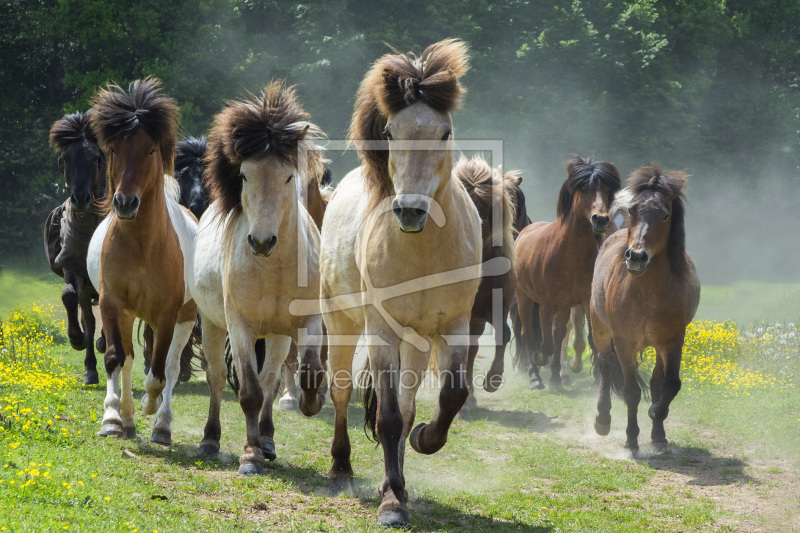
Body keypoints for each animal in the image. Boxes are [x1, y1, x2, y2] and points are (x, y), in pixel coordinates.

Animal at [86, 78, 198, 444]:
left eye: (150, 150)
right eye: (113, 150)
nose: (125, 202)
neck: (142, 247)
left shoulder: (167, 315)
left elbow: (160, 374)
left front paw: (151, 408)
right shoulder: (111, 304)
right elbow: (114, 359)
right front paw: (111, 418)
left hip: (185, 317)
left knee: (172, 367)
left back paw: (161, 424)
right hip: (126, 313)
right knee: (129, 360)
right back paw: (127, 418)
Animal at [192, 80, 326, 474]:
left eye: (289, 176)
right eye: (244, 175)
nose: (262, 241)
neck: (274, 269)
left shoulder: (308, 321)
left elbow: (305, 372)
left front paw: (311, 402)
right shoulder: (240, 326)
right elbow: (249, 392)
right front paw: (249, 457)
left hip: (278, 335)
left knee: (270, 380)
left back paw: (267, 439)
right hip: (212, 324)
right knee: (217, 378)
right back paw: (211, 439)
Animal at [512, 154, 624, 386]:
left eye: (606, 190)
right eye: (584, 188)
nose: (600, 219)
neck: (568, 253)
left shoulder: (585, 302)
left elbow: (585, 339)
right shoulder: (546, 305)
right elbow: (545, 344)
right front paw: (538, 359)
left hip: (563, 307)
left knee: (559, 333)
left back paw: (556, 376)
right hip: (525, 298)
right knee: (528, 333)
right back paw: (535, 377)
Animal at [588, 165, 700, 448]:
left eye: (665, 215)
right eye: (634, 210)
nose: (636, 257)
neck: (648, 293)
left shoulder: (673, 341)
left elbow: (670, 384)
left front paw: (656, 416)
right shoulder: (624, 343)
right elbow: (631, 392)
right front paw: (631, 439)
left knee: (657, 380)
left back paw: (658, 434)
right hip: (601, 330)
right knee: (605, 366)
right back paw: (602, 420)